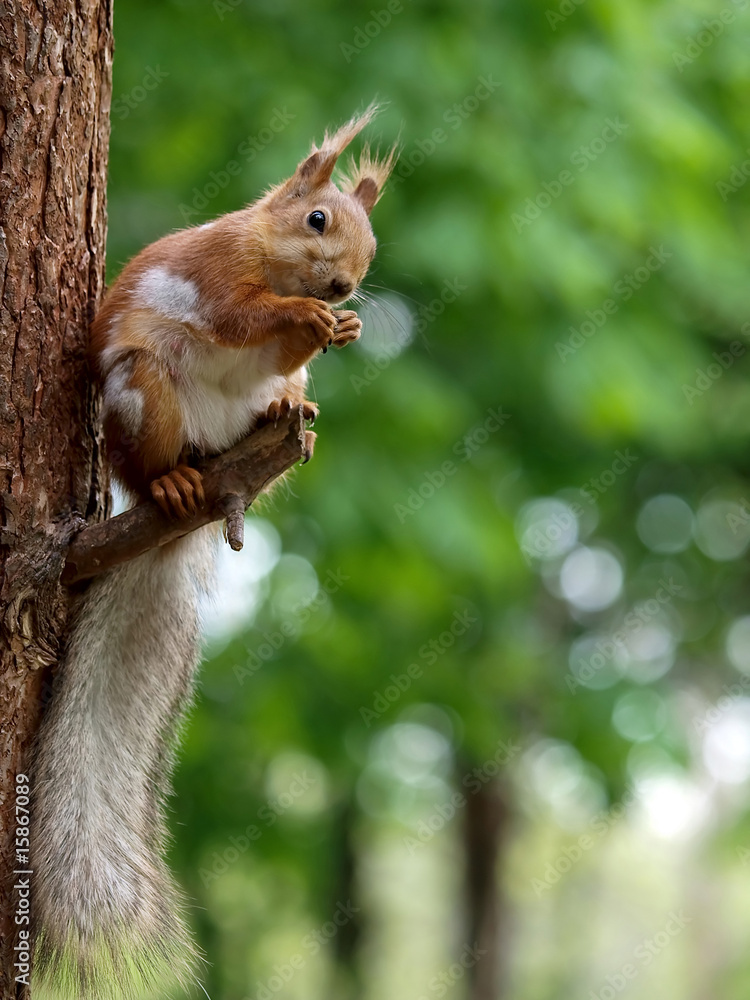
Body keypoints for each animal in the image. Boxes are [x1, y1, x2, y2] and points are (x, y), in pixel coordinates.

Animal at [28, 105, 396, 996]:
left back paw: (284, 413)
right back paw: (172, 485)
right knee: (161, 458)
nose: (343, 290)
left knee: (277, 396)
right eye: (318, 219)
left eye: (371, 244)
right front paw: (305, 318)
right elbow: (242, 316)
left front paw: (342, 329)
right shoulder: (215, 273)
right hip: (145, 391)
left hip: (260, 409)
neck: (270, 252)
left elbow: (278, 351)